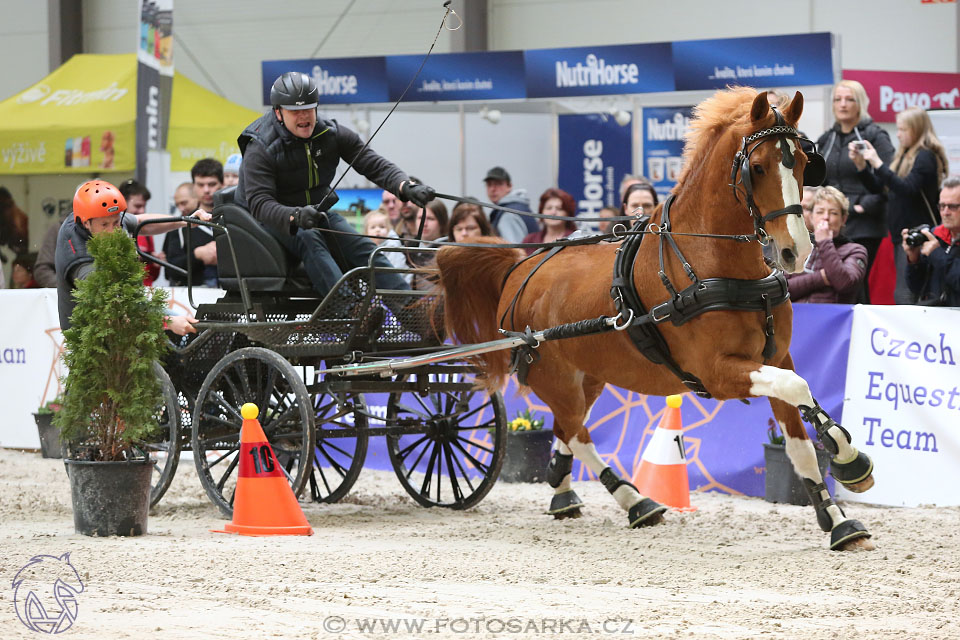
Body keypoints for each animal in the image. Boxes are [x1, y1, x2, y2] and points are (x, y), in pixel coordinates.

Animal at [436, 87, 876, 552]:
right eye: (757, 167)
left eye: (807, 164)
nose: (797, 251)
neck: (713, 264)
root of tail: (519, 268)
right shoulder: (718, 373)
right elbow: (798, 388)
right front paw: (848, 458)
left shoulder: (777, 356)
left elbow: (800, 441)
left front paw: (839, 516)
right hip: (553, 379)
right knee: (574, 430)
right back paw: (634, 500)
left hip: (590, 376)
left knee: (566, 427)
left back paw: (565, 492)